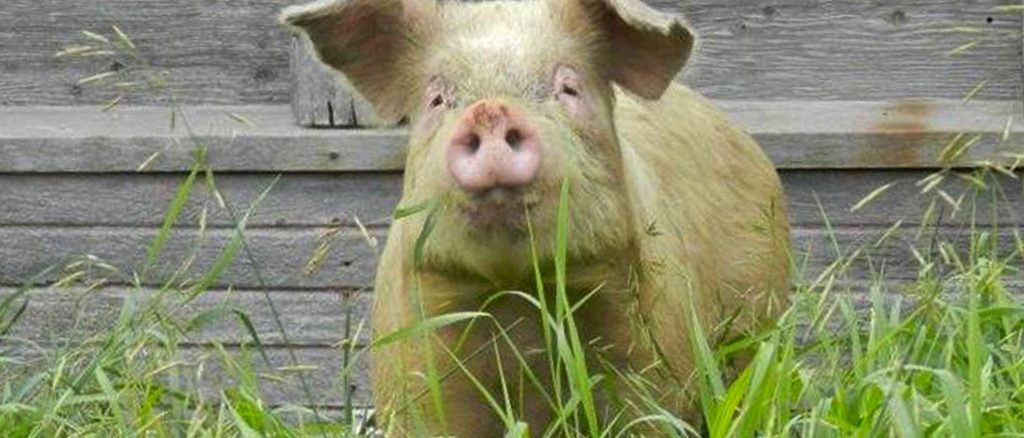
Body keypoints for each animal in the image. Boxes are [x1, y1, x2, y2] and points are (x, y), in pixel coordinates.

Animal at [283, 0, 790, 435]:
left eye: (568, 87)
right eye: (437, 98)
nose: (490, 111)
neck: (518, 300)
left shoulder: (654, 360)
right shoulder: (413, 365)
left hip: (763, 315)